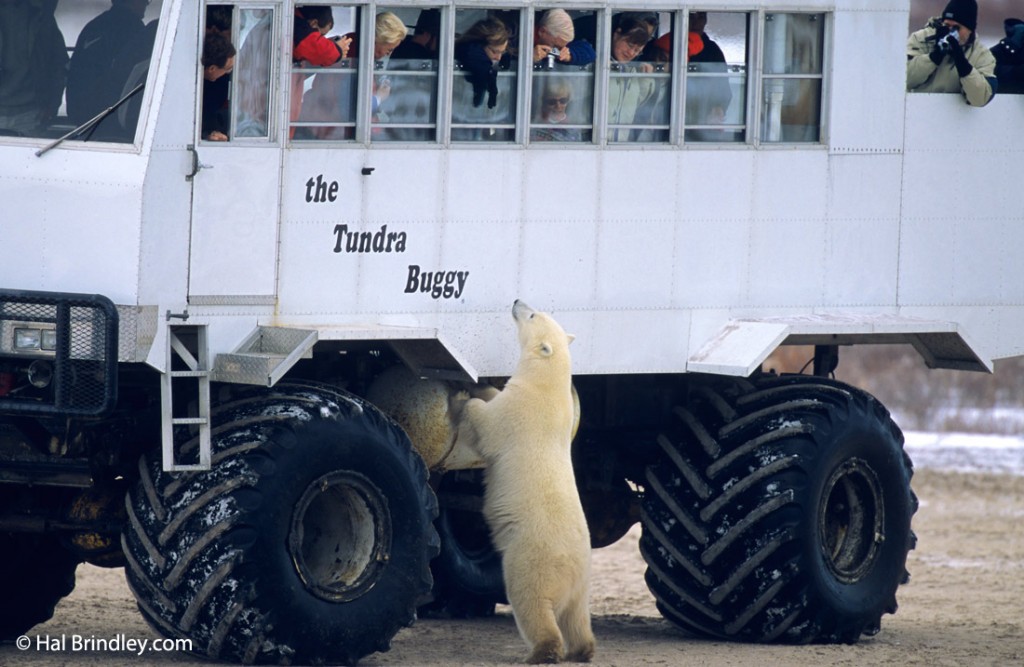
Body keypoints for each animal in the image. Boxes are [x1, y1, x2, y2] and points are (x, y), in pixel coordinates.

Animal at [454, 301, 593, 663]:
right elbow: (494, 396)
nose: (517, 301)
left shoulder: (521, 411)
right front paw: (480, 386)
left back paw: (542, 652)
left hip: (532, 559)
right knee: (576, 617)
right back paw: (583, 649)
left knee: (532, 603)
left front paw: (465, 398)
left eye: (532, 315)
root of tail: (571, 573)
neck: (550, 385)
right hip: (582, 583)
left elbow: (488, 426)